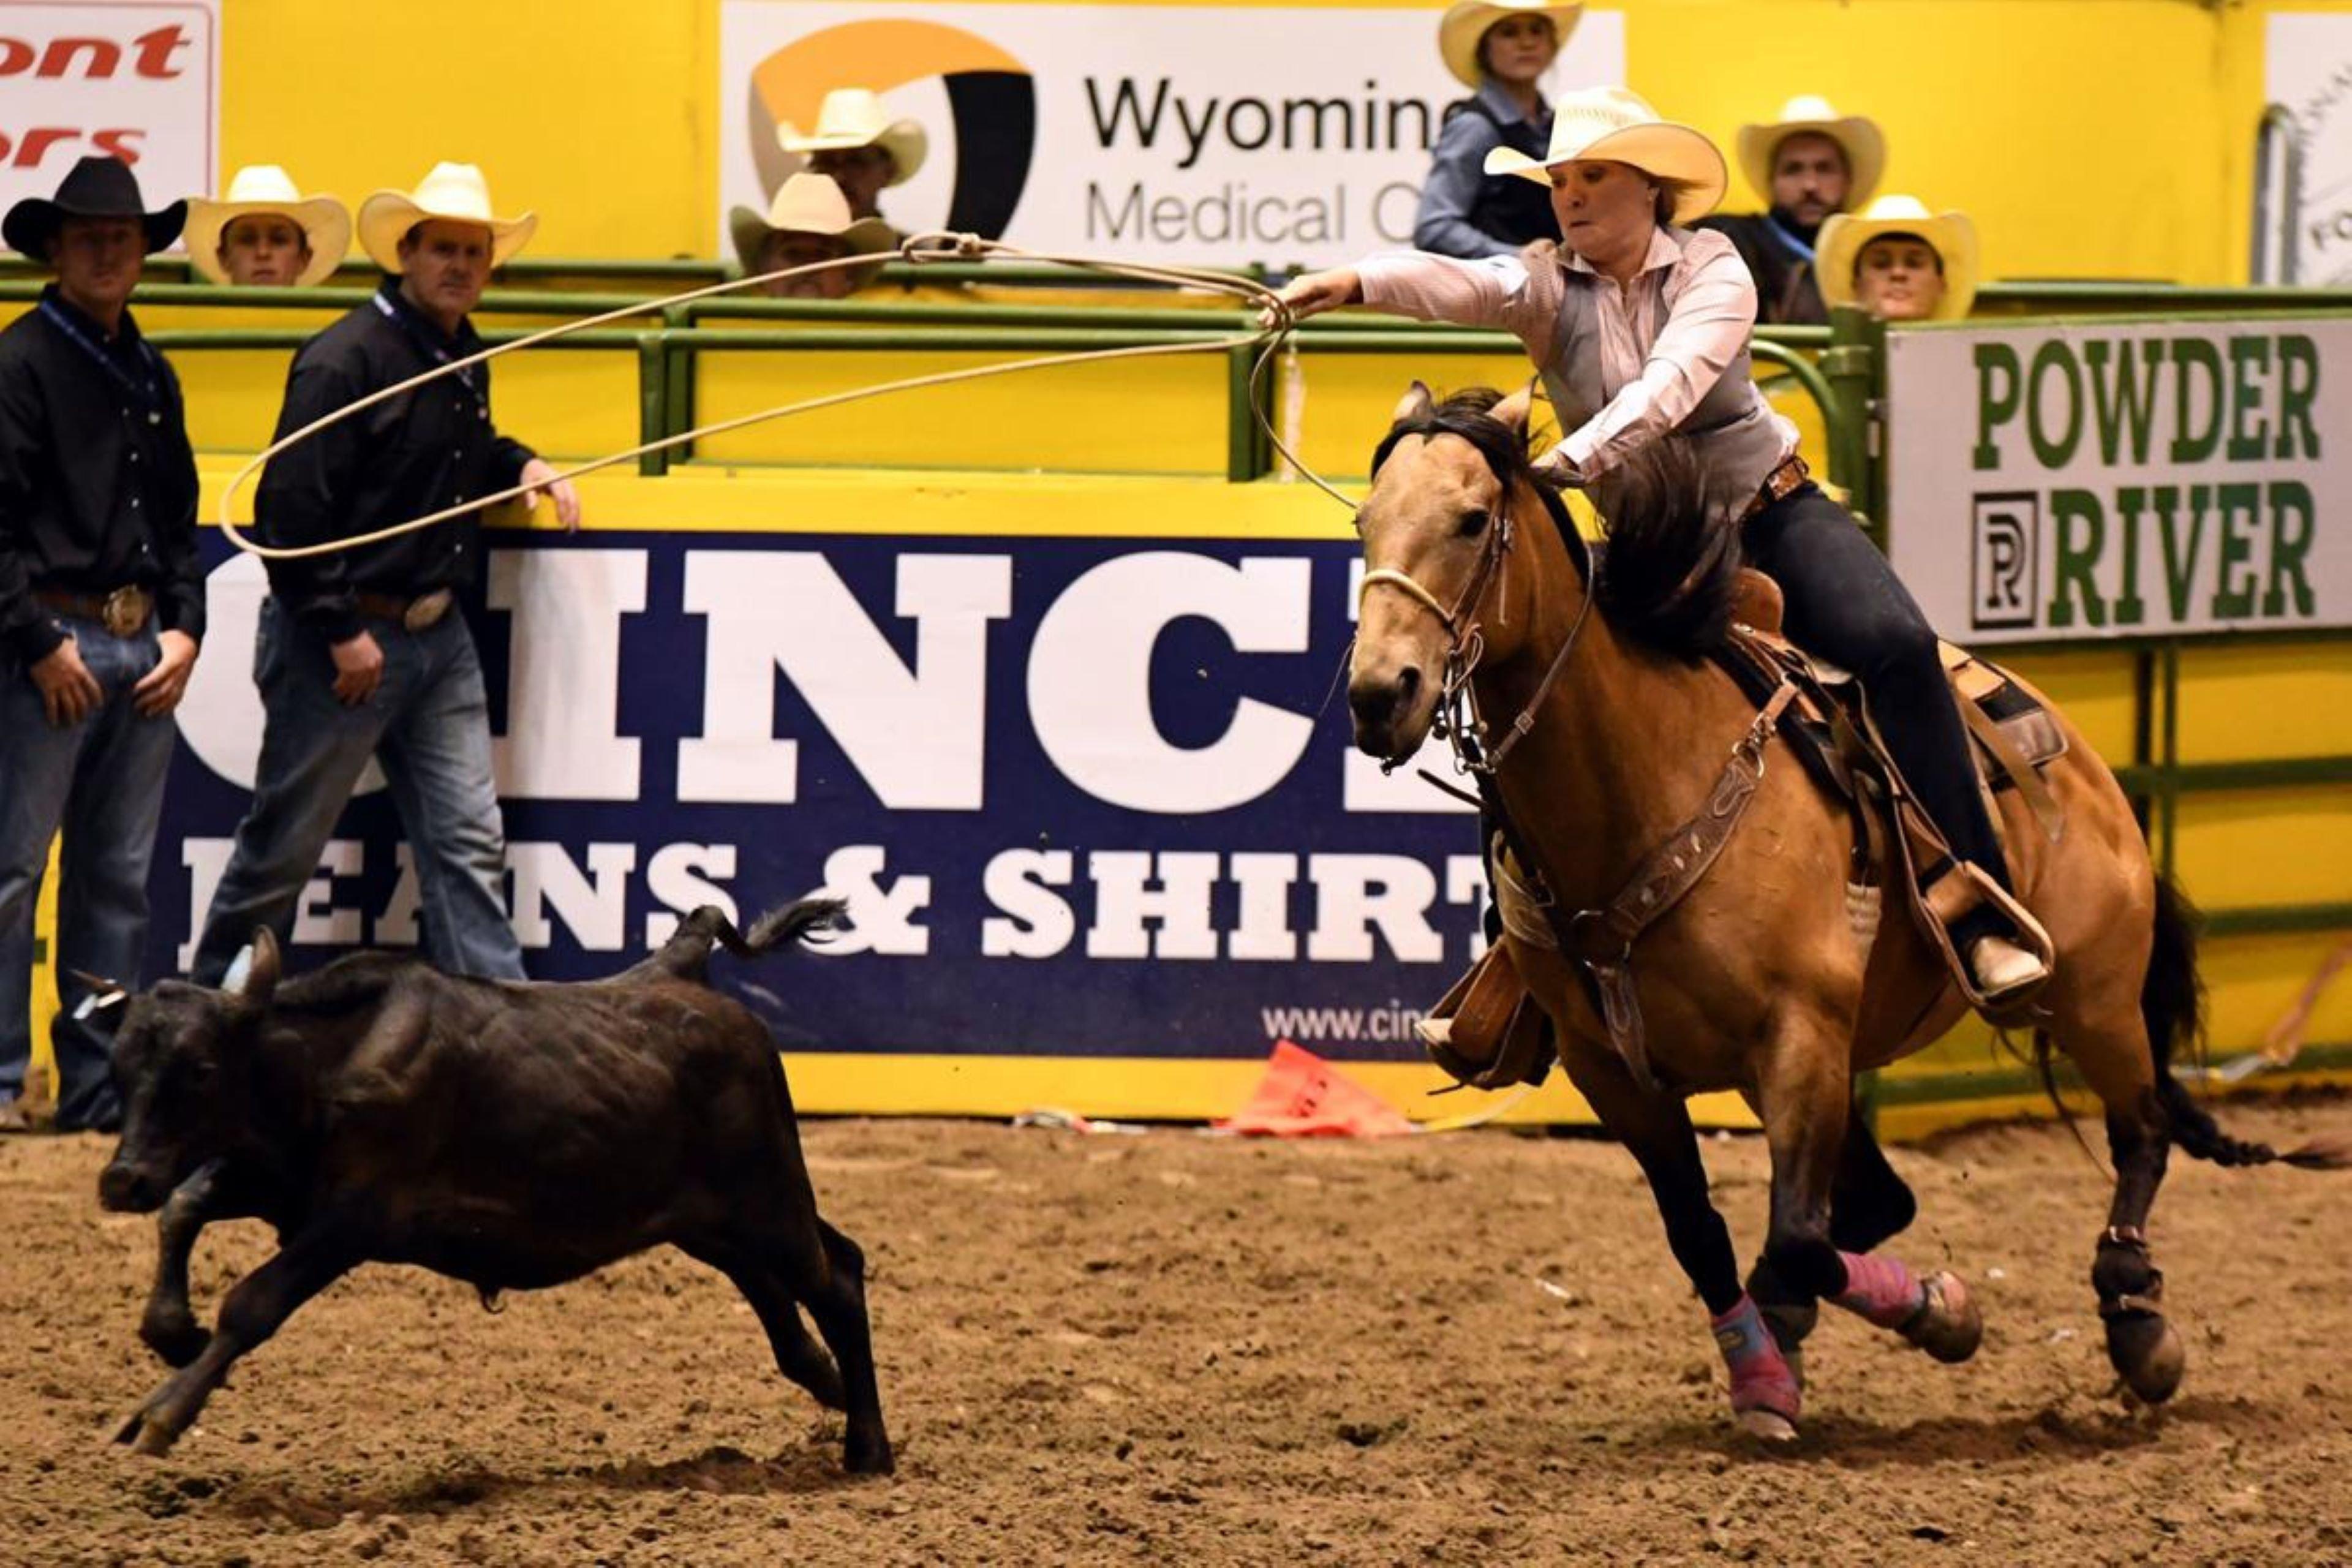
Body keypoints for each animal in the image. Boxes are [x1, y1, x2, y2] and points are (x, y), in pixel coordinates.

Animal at [1354, 385, 2342, 1438]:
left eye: (1471, 521)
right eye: (1364, 522)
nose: (1380, 694)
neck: (1646, 779)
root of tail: (2085, 761)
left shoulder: (1802, 1033)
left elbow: (1795, 1234)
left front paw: (1944, 1313)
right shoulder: (1615, 1073)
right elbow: (1705, 1232)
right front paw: (1767, 1368)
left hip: (2093, 998)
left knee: (2142, 1128)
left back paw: (2136, 1321)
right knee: (1881, 1203)